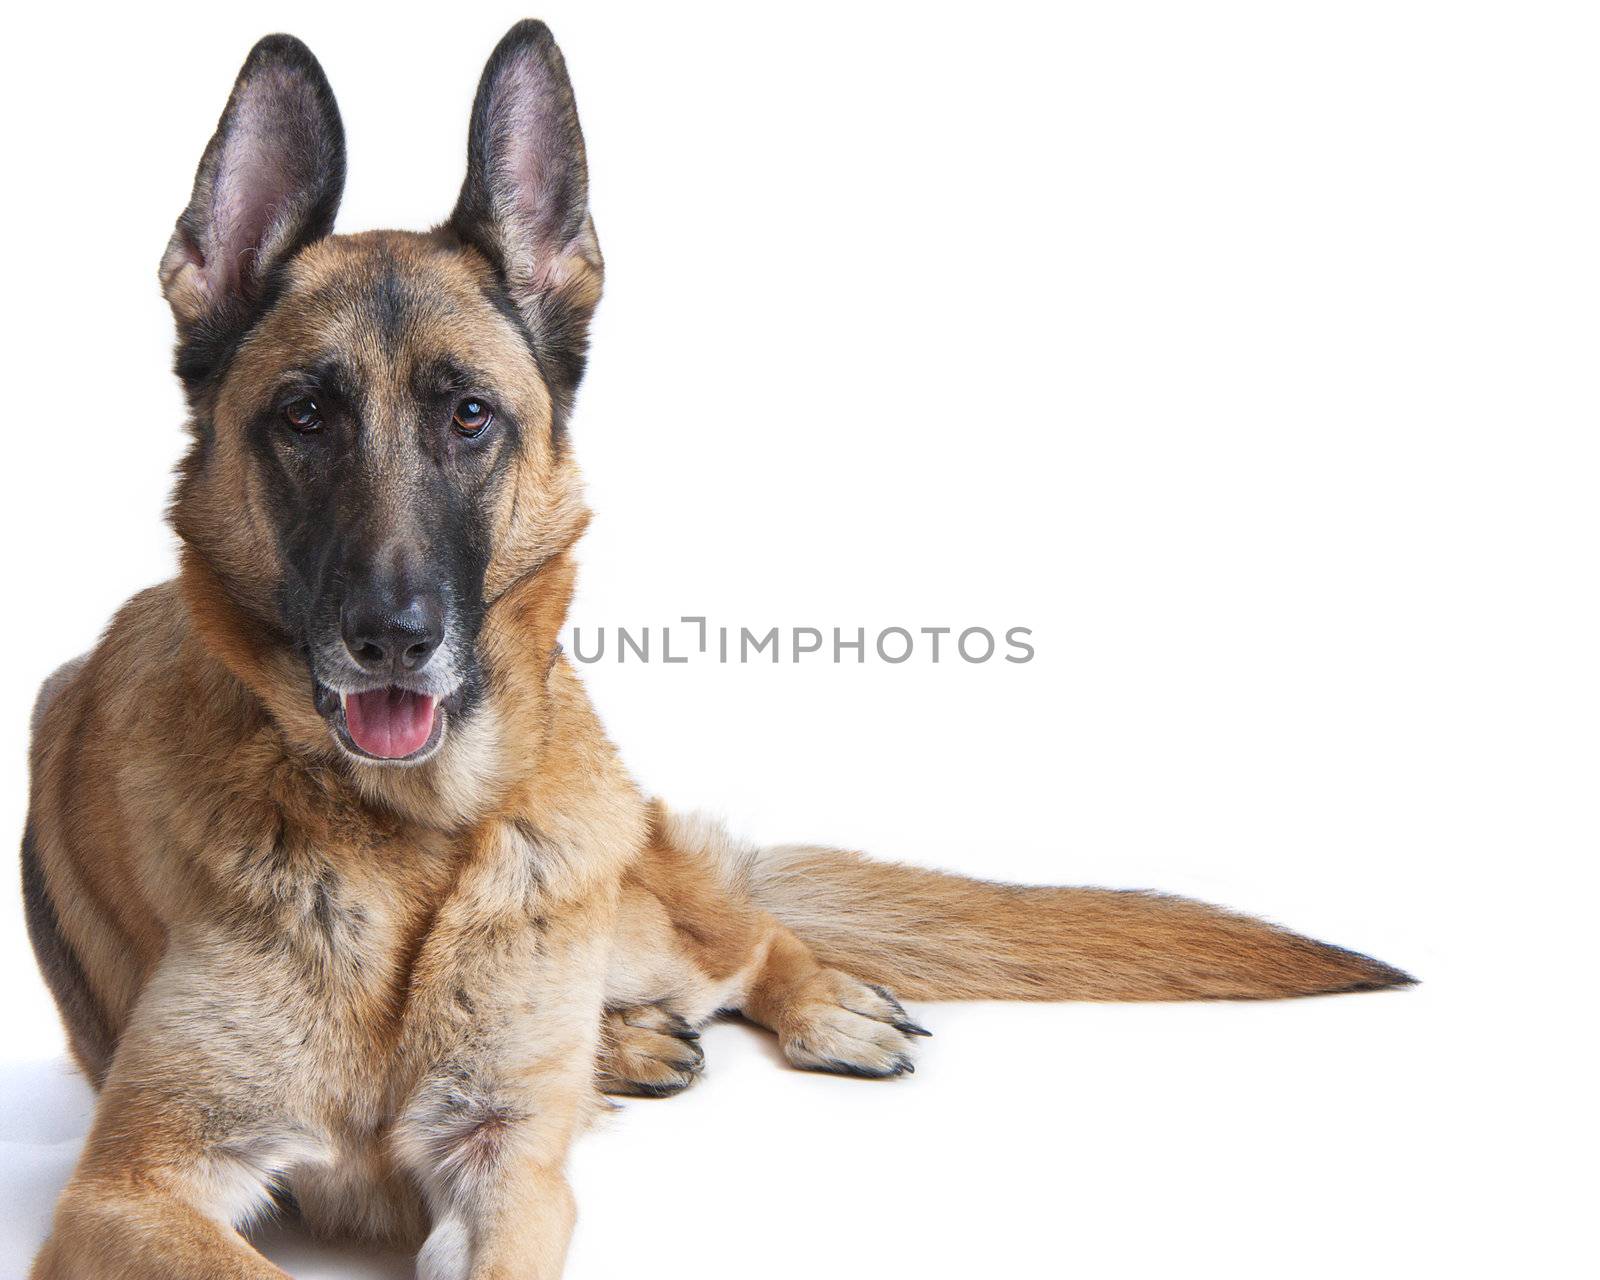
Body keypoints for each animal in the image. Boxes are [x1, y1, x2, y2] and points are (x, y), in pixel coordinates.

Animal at [18, 20, 1408, 1280]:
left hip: (629, 904)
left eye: (469, 416)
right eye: (304, 415)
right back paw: (629, 1042)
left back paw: (798, 1001)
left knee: (745, 935)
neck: (411, 846)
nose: (393, 638)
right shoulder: (130, 1187)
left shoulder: (507, 1167)